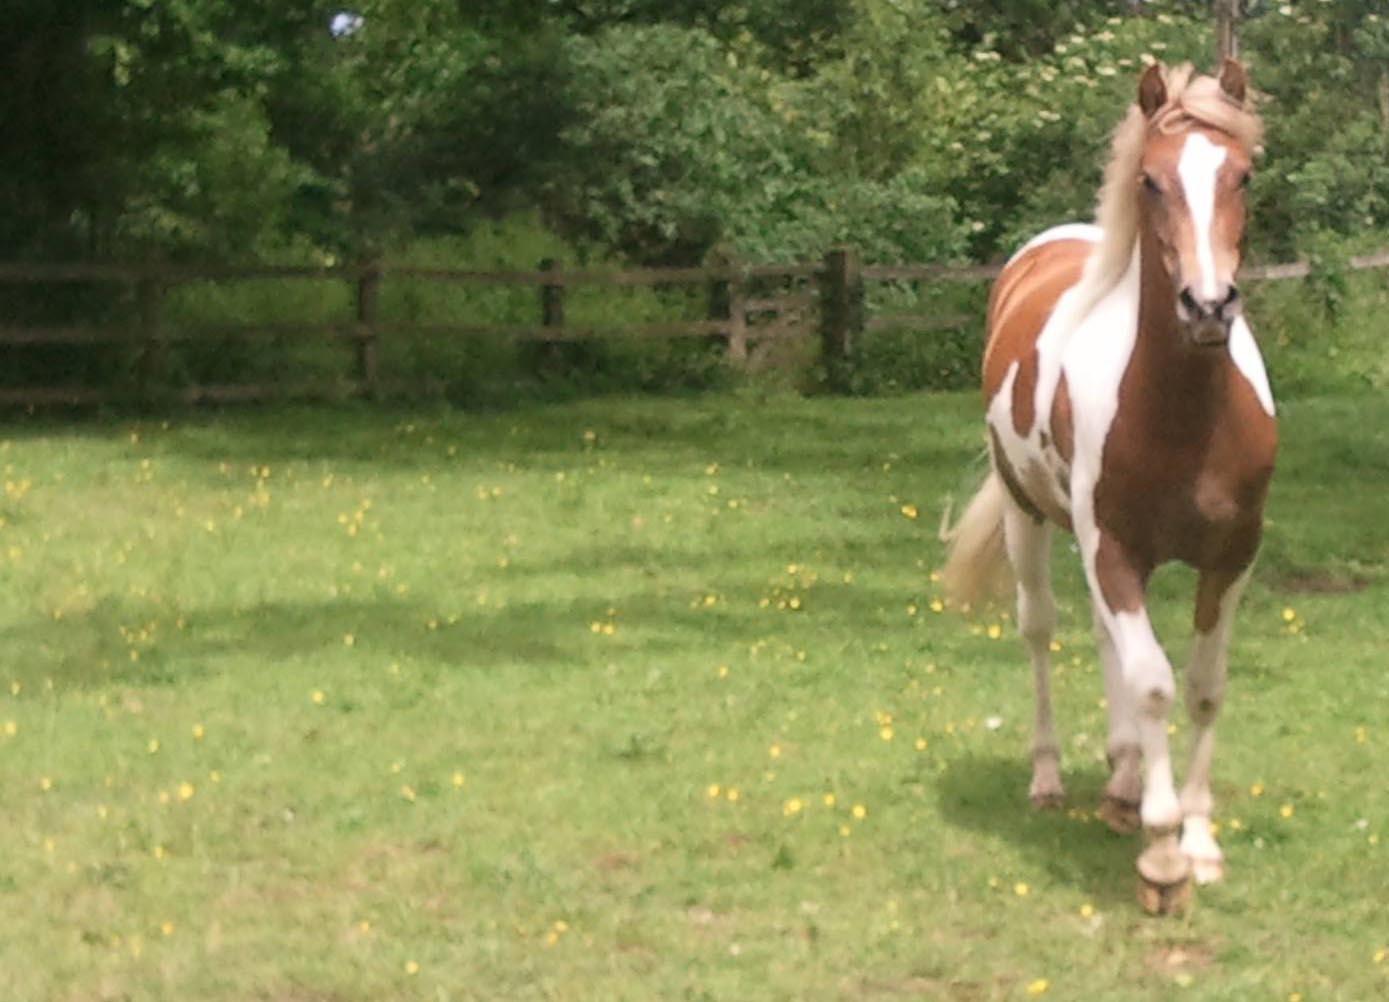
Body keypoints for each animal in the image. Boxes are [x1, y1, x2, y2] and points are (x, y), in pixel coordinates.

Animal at [944, 58, 1277, 911]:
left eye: (1242, 174)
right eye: (1150, 181)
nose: (1206, 305)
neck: (1187, 421)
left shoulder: (1232, 559)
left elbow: (1201, 687)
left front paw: (1197, 840)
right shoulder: (1114, 551)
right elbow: (1153, 682)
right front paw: (1162, 857)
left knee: (1104, 640)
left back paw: (1123, 779)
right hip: (1029, 516)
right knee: (1040, 628)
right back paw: (1051, 779)